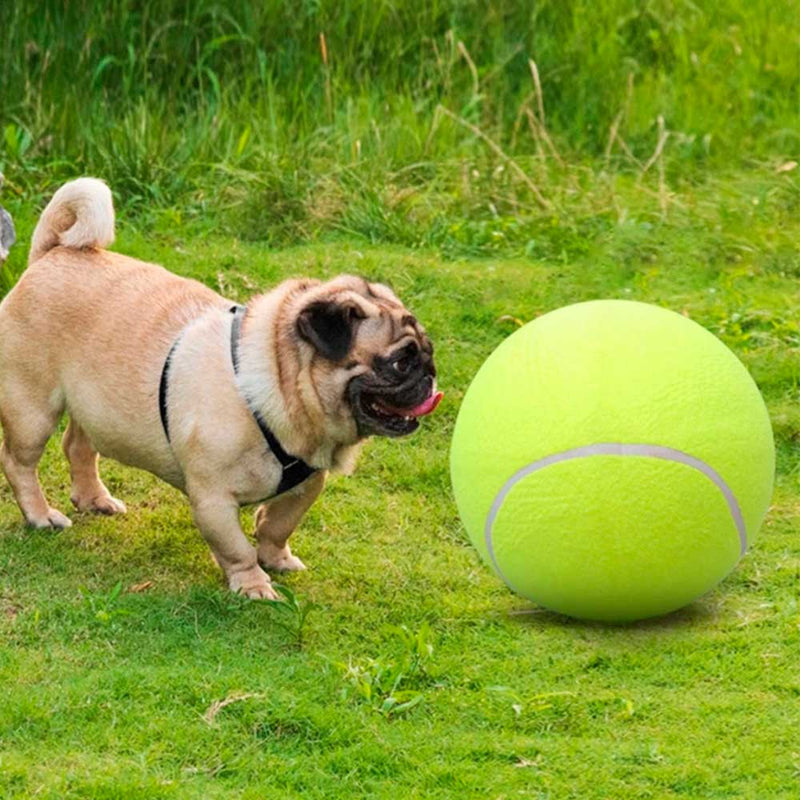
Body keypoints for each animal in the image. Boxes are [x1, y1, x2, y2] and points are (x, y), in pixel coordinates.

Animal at [0, 178, 440, 596]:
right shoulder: (213, 499)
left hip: (93, 406)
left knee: (78, 446)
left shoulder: (306, 485)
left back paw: (94, 499)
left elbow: (278, 525)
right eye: (400, 362)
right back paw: (41, 515)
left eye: (427, 351)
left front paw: (277, 559)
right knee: (19, 463)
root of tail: (52, 253)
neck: (276, 390)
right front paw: (253, 584)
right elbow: (237, 547)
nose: (430, 373)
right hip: (32, 410)